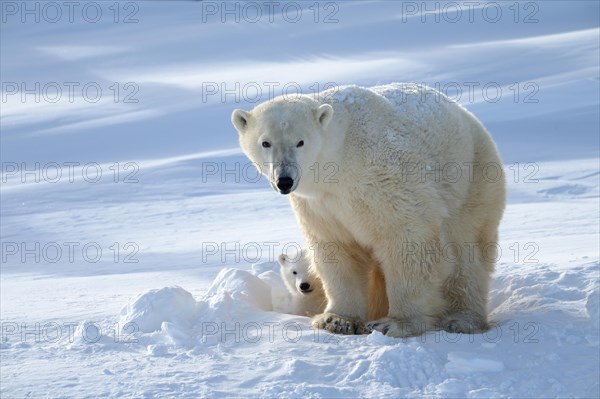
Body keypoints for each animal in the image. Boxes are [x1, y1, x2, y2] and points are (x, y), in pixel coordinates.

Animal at [232, 83, 504, 338]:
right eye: (265, 142)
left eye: (300, 142)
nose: (284, 180)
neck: (340, 157)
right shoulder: (319, 205)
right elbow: (337, 248)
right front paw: (337, 320)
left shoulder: (383, 178)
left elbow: (408, 239)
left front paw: (396, 323)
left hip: (472, 180)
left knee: (466, 250)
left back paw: (462, 319)